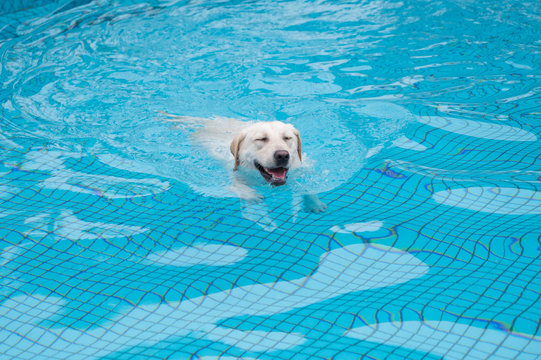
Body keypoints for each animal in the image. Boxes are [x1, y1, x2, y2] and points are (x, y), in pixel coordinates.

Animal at [158, 112, 326, 212]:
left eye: (287, 138)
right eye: (261, 139)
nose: (283, 155)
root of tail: (209, 121)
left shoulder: (304, 168)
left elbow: (310, 186)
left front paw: (314, 203)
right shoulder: (234, 171)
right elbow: (237, 185)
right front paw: (250, 195)